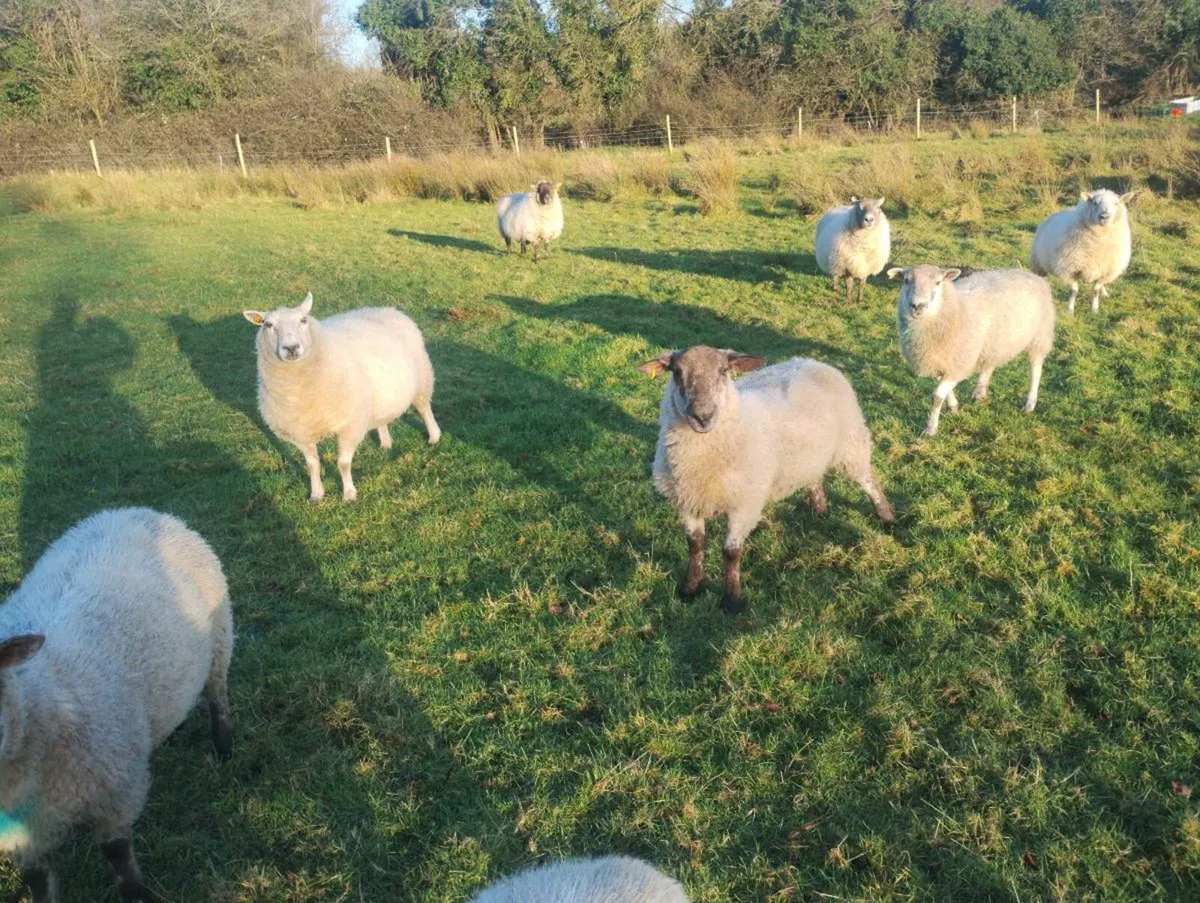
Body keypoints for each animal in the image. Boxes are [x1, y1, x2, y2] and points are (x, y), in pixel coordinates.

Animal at [0, 507, 233, 903]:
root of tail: (131, 511)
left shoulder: (116, 791)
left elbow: (117, 854)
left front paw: (137, 894)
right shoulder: (22, 837)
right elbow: (37, 880)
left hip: (220, 639)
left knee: (218, 697)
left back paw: (224, 748)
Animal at [243, 292, 441, 502]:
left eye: (303, 320)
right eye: (268, 324)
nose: (291, 348)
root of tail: (385, 309)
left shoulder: (350, 426)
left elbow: (343, 463)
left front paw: (349, 494)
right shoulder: (301, 433)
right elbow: (312, 465)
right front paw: (316, 494)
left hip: (422, 378)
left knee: (424, 408)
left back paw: (434, 436)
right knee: (381, 419)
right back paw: (386, 443)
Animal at [639, 345, 895, 614]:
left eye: (723, 371)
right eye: (677, 372)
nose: (703, 416)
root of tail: (812, 361)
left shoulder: (745, 505)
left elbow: (731, 553)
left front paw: (732, 599)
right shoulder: (688, 501)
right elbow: (695, 545)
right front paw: (691, 587)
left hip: (851, 443)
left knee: (869, 481)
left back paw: (887, 517)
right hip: (812, 456)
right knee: (815, 478)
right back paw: (819, 510)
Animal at [889, 264, 1056, 437]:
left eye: (938, 282)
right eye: (905, 280)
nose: (917, 306)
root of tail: (1033, 275)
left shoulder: (960, 363)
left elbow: (937, 396)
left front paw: (930, 428)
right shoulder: (938, 361)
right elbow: (943, 389)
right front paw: (953, 407)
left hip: (1039, 337)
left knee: (1036, 370)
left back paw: (1030, 403)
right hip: (993, 342)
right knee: (990, 364)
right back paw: (980, 393)